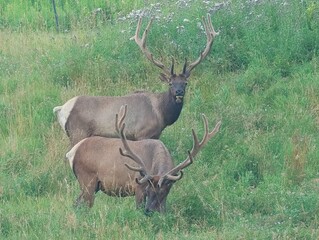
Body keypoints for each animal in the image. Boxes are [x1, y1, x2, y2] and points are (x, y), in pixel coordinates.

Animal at [53, 15, 220, 147]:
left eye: (185, 83)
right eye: (170, 83)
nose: (179, 92)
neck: (161, 115)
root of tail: (61, 109)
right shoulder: (142, 133)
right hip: (78, 133)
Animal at [67, 105, 222, 214]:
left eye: (163, 192)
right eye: (148, 189)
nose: (149, 211)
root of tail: (72, 152)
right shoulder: (138, 187)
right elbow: (138, 208)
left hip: (93, 185)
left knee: (77, 203)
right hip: (87, 180)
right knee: (83, 205)